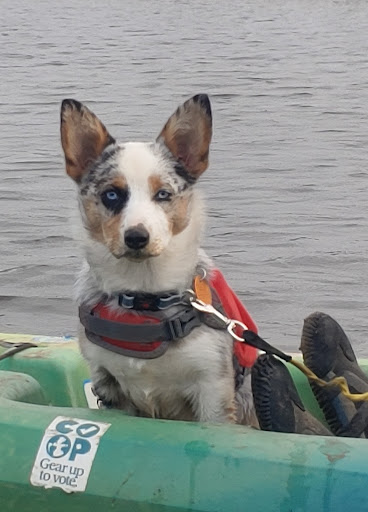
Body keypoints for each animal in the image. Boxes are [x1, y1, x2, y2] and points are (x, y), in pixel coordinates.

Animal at [60, 95, 258, 424]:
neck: (144, 295)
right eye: (111, 194)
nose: (136, 237)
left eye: (163, 194)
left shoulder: (212, 389)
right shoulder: (107, 383)